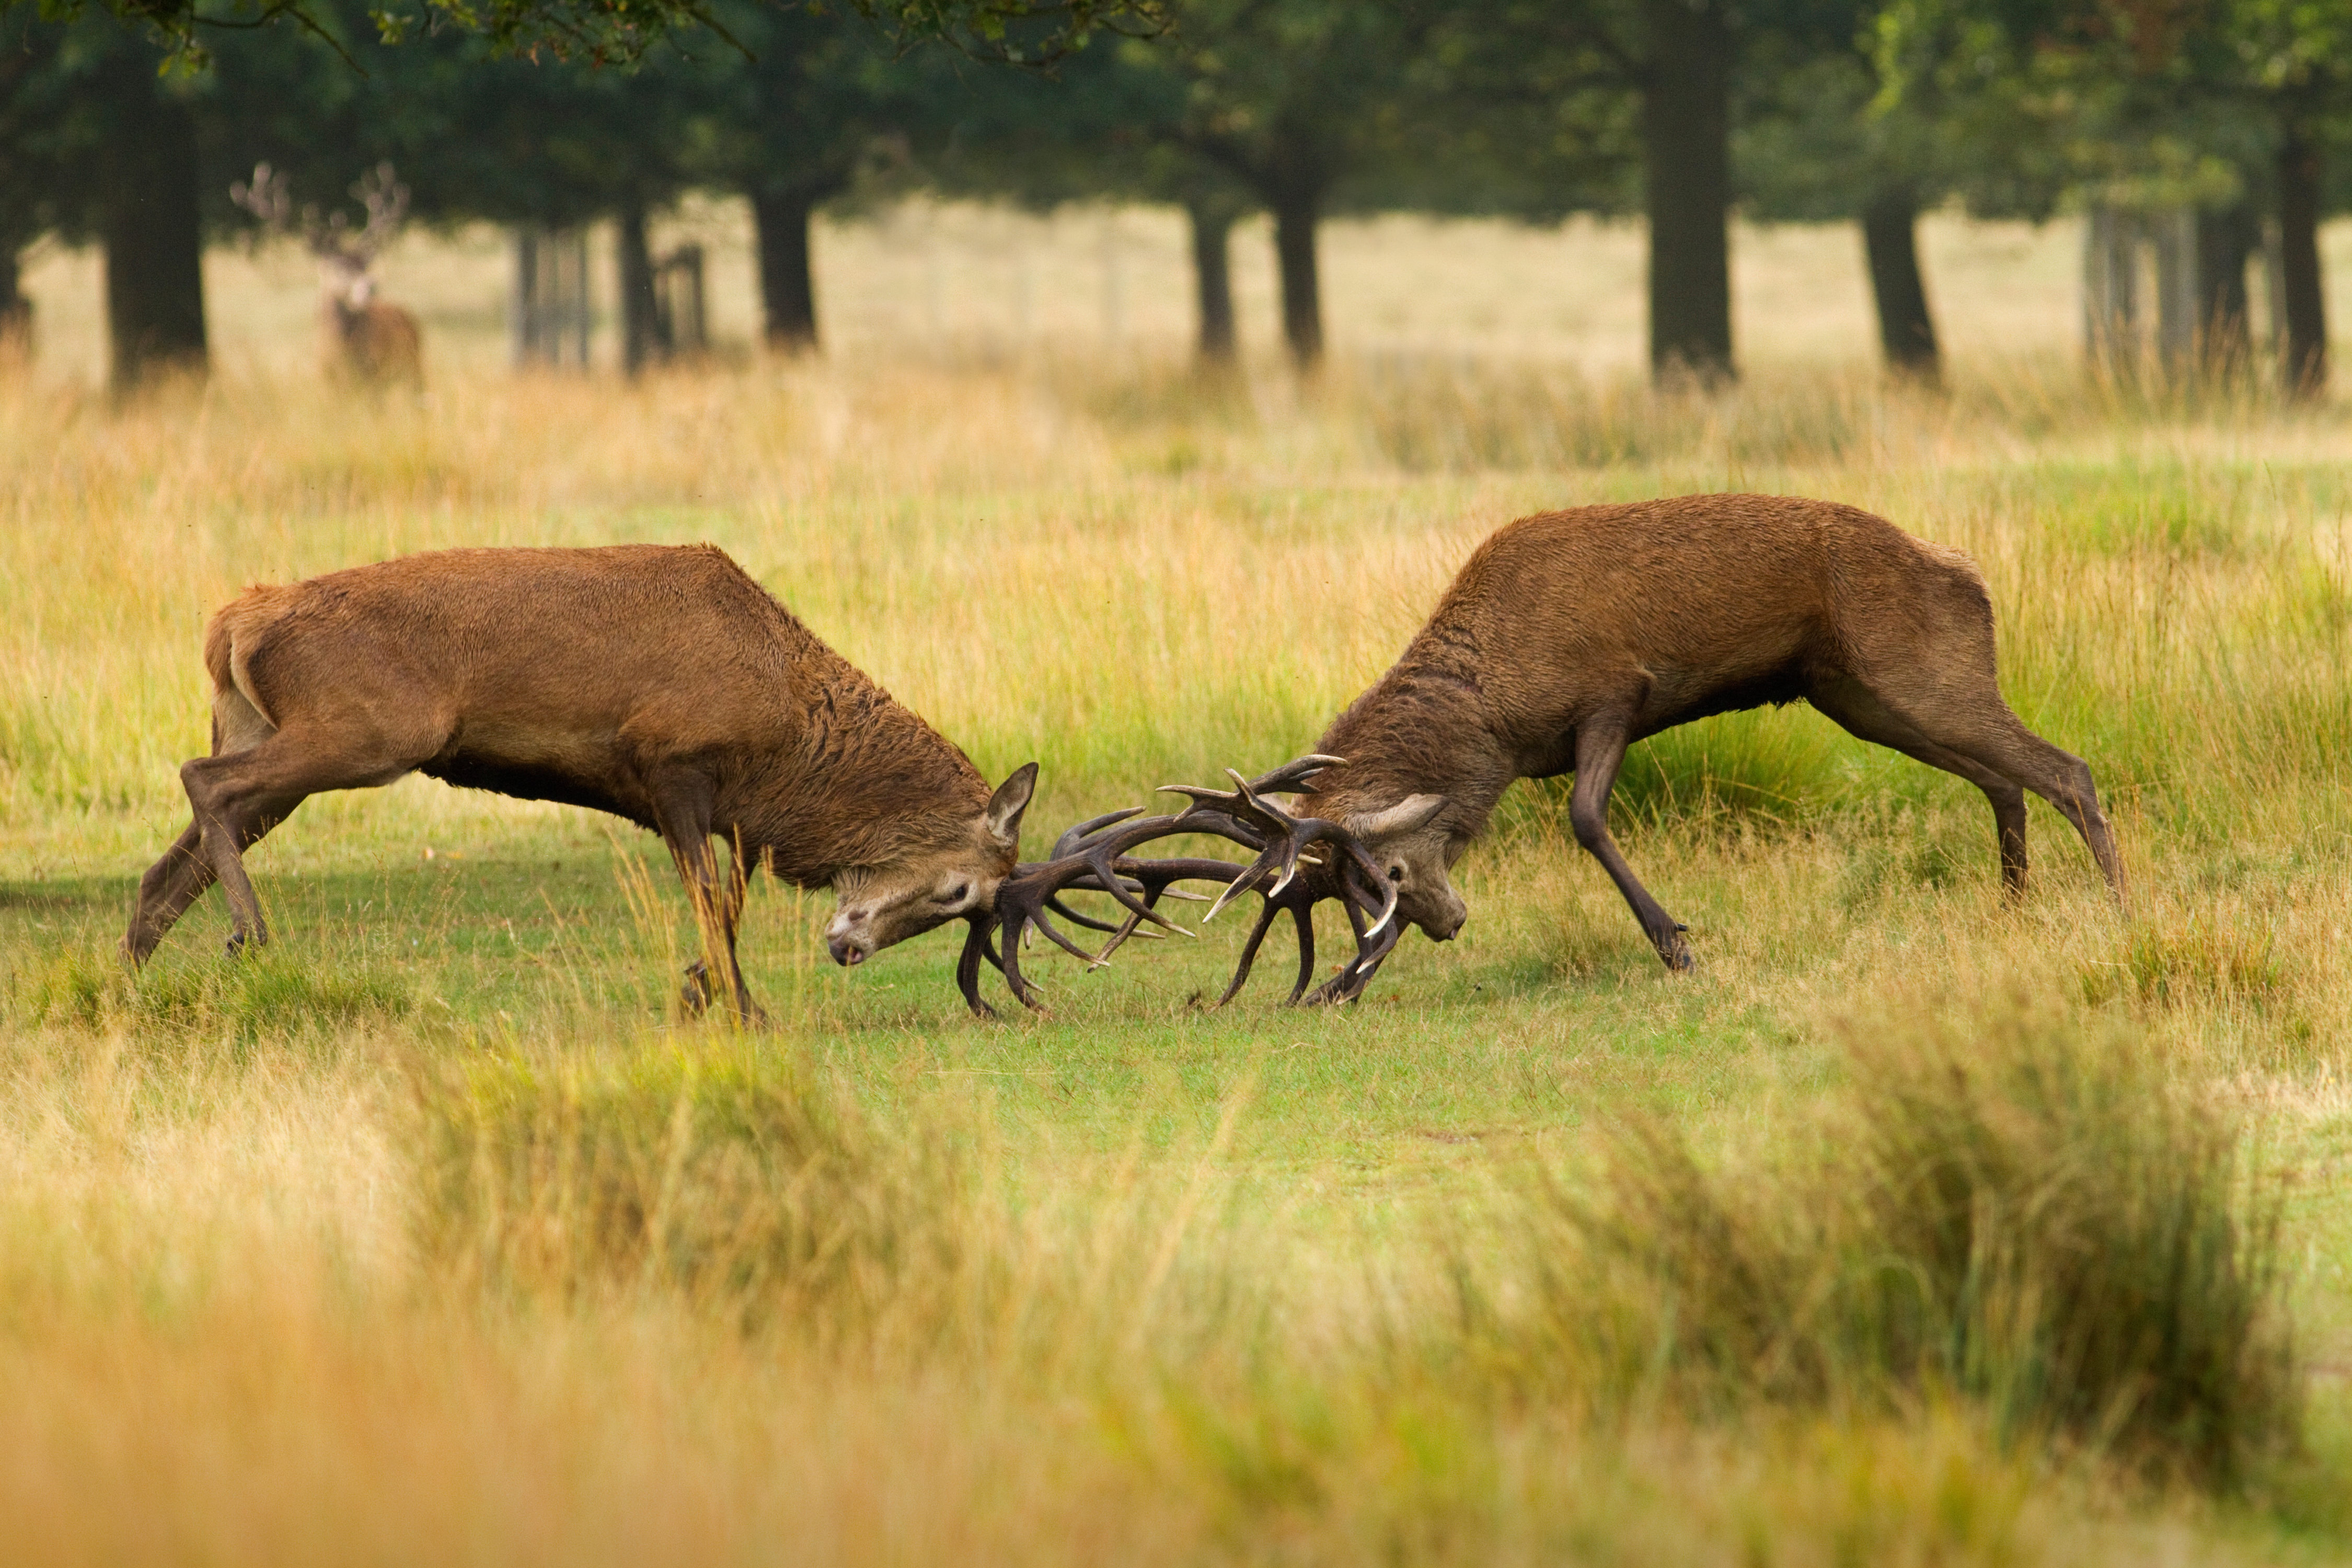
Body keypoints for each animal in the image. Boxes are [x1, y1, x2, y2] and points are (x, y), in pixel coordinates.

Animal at [231, 162, 423, 385]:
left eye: (365, 266)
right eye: (338, 267)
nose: (371, 285)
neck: (340, 357)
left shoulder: (371, 377)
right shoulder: (324, 380)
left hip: (414, 368)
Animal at [1166, 494, 2128, 1004]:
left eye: (1388, 876)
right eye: (1339, 891)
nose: (1447, 924)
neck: (1497, 715)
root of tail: (1972, 574)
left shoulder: (1612, 694)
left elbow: (1588, 818)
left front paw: (1676, 944)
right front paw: (1342, 984)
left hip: (1918, 673)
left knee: (2068, 770)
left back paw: (2121, 910)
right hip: (1860, 697)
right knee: (2006, 784)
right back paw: (2011, 909)